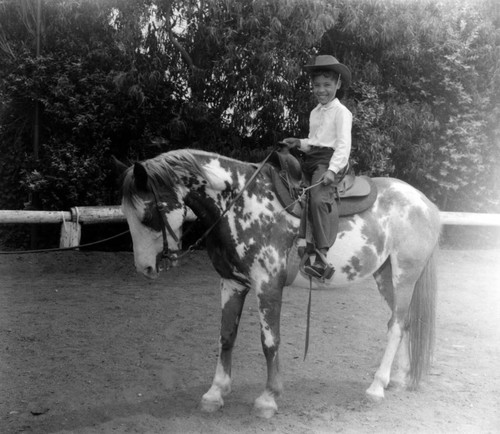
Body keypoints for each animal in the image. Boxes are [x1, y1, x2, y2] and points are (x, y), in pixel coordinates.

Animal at [122, 148, 442, 418]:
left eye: (147, 215)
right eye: (126, 215)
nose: (145, 268)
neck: (244, 204)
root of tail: (427, 204)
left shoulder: (267, 285)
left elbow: (270, 342)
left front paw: (268, 398)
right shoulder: (232, 283)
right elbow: (226, 337)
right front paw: (215, 393)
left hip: (404, 276)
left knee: (396, 325)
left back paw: (377, 386)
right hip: (386, 277)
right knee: (404, 322)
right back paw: (397, 379)